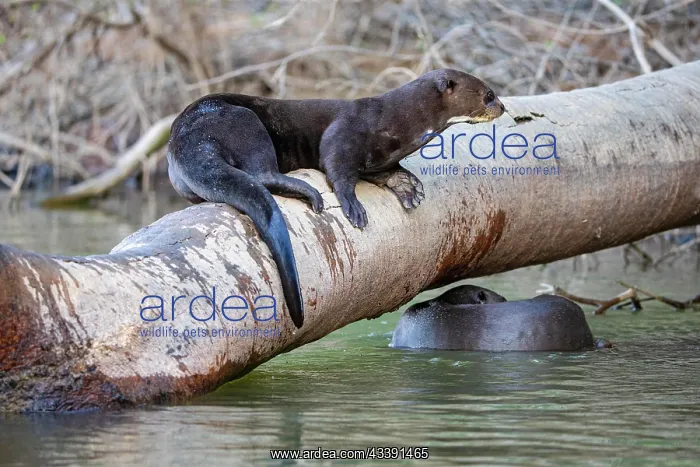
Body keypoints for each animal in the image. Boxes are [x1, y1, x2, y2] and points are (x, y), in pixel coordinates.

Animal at [167, 70, 505, 328]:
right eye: (488, 94)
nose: (502, 107)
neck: (396, 121)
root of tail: (183, 138)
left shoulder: (380, 156)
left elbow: (383, 170)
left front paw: (406, 185)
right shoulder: (345, 131)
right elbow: (336, 165)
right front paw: (352, 206)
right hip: (243, 121)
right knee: (261, 173)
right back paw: (308, 192)